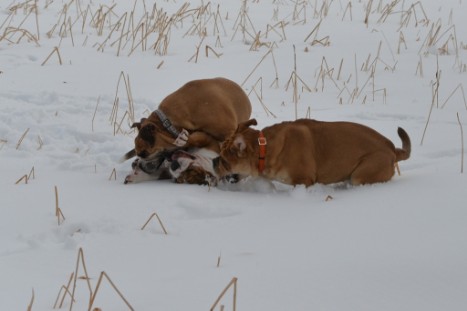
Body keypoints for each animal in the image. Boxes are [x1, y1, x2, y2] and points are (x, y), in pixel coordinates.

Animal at [212, 119, 414, 188]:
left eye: (224, 160)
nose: (214, 161)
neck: (264, 148)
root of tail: (392, 149)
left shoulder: (303, 180)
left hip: (363, 173)